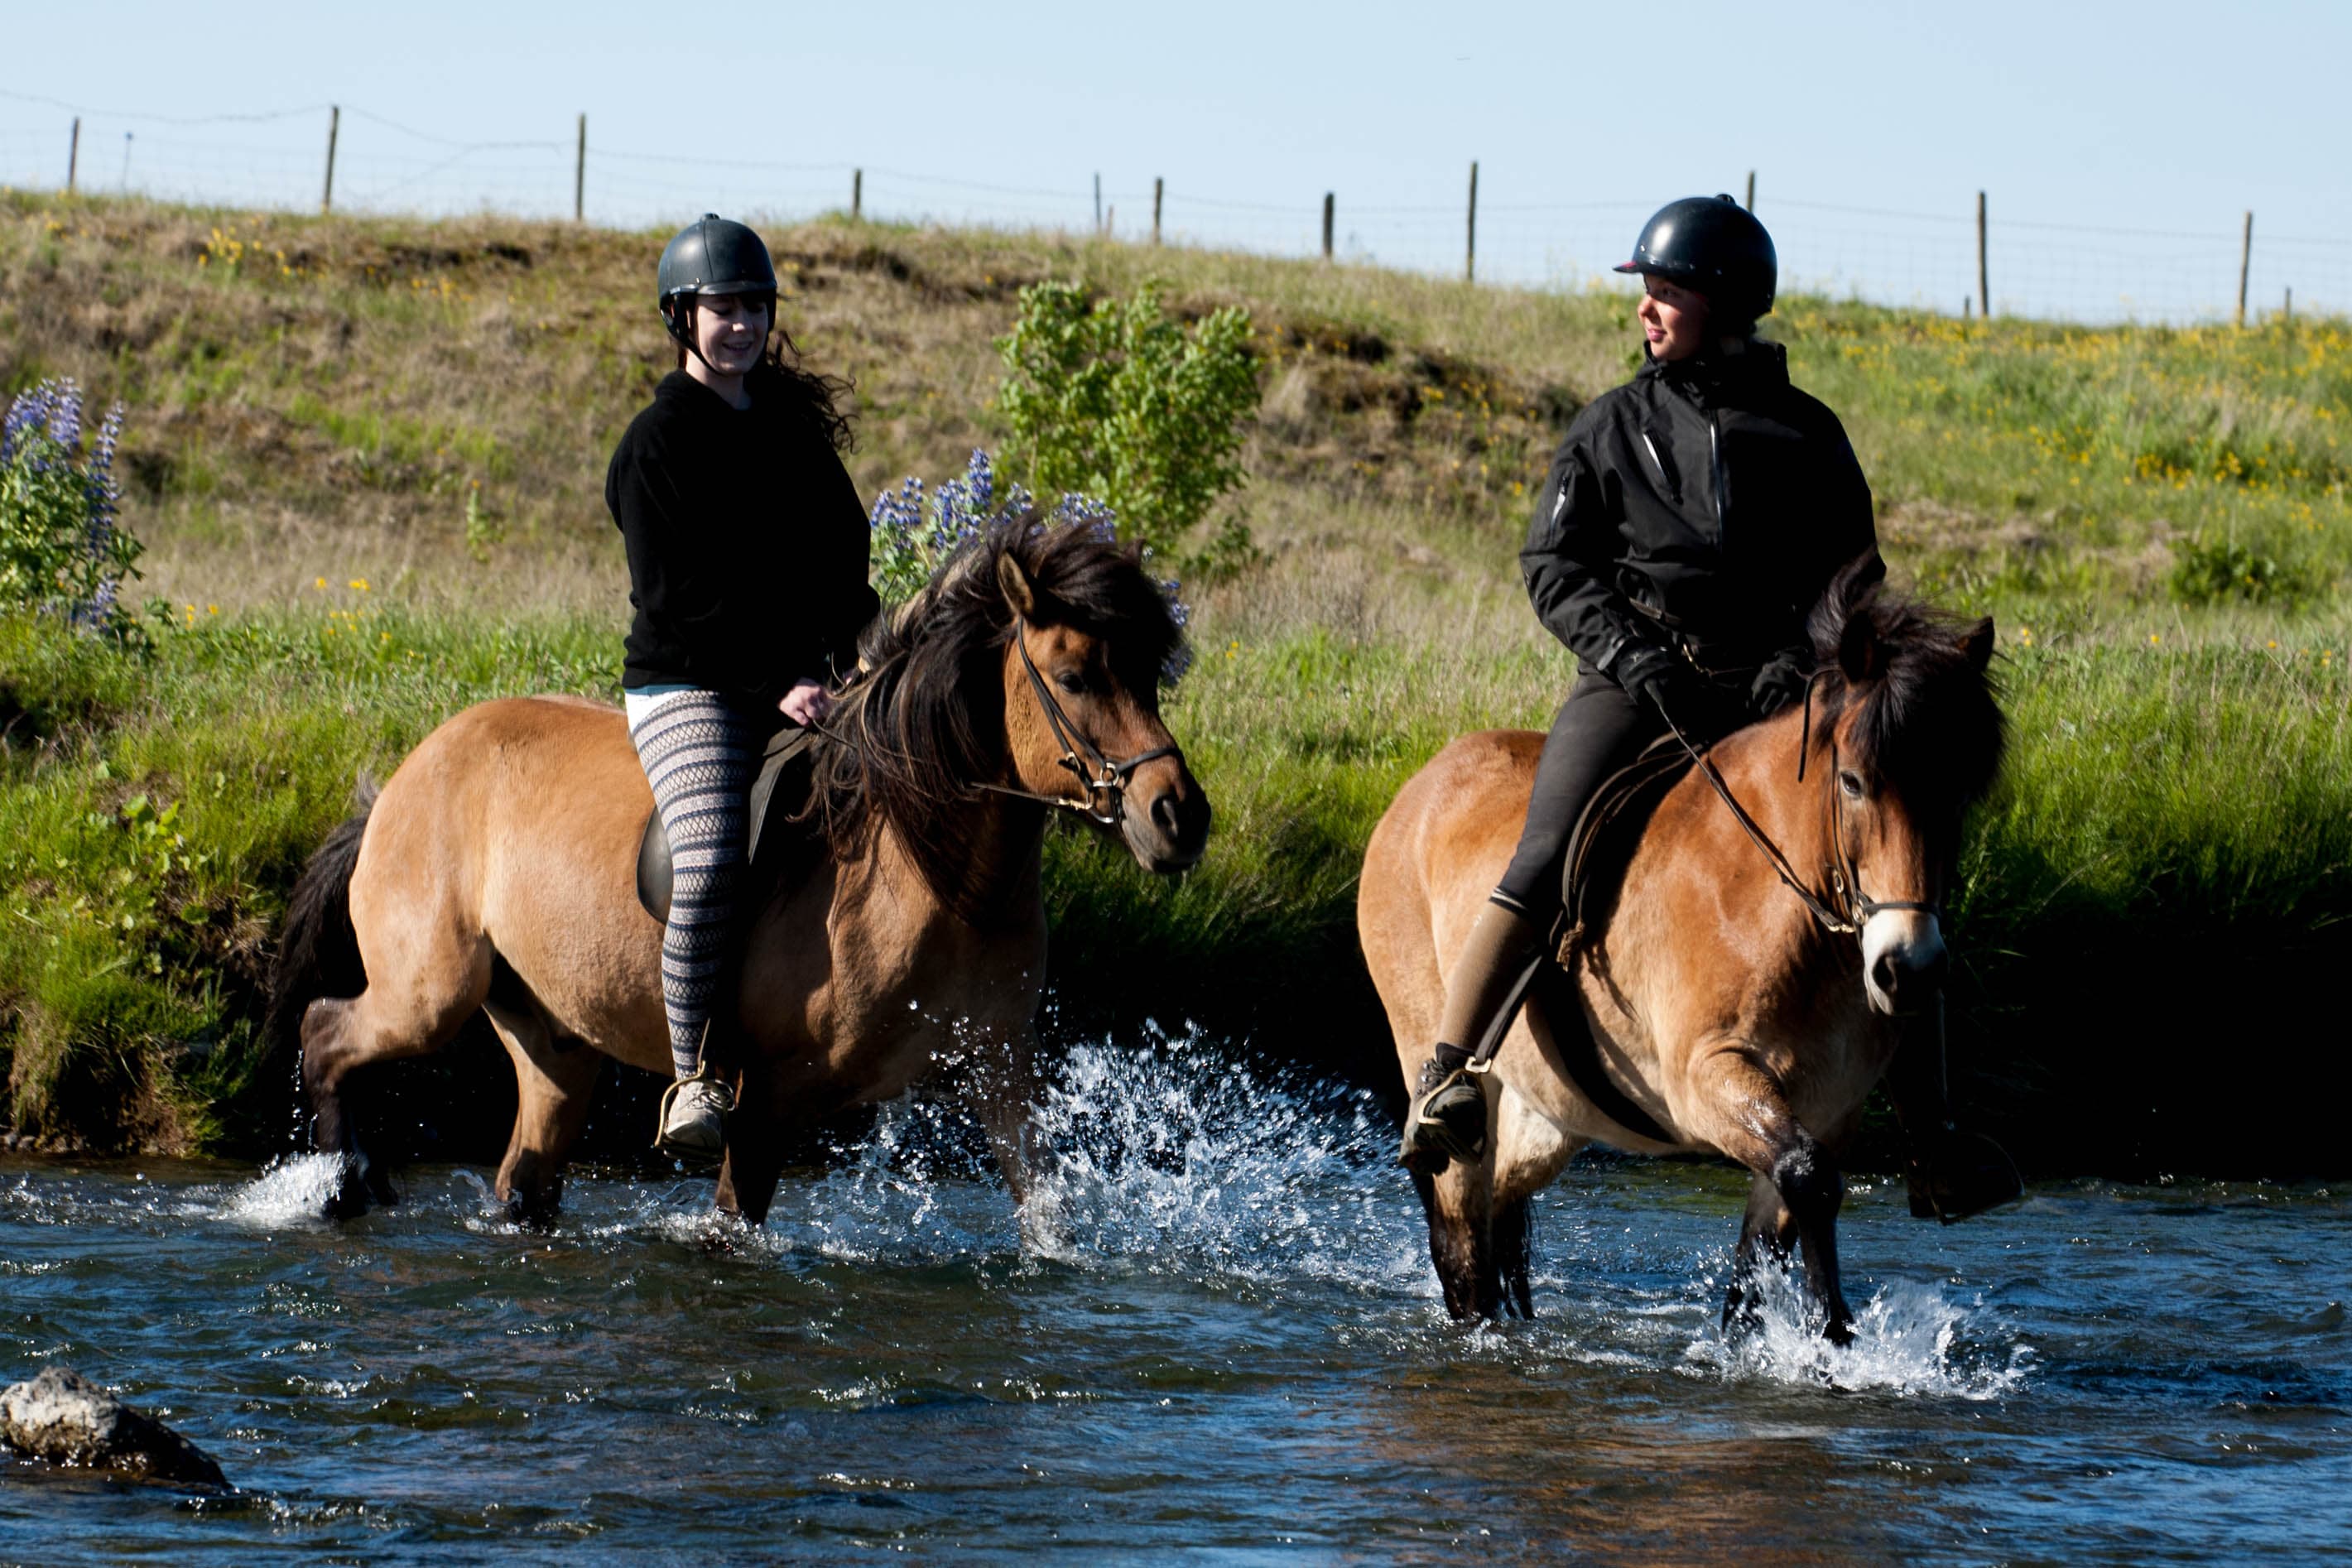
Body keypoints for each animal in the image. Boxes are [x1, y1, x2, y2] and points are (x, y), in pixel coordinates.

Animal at [266, 515, 1210, 1227]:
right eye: (1074, 676)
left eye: (1151, 677)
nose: (1179, 817)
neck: (937, 876)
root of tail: (406, 774)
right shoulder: (766, 1102)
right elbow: (734, 1225)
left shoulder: (1002, 1073)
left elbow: (1044, 1212)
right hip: (430, 992)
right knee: (325, 1033)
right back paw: (345, 1186)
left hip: (552, 1037)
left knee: (525, 1177)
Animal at [1358, 560, 2003, 1332]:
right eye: (1852, 783)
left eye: (1959, 797)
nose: (1907, 970)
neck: (1788, 919)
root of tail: (1418, 788)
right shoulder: (1705, 1078)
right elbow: (1808, 1178)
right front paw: (1833, 1332)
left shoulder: (1825, 1110)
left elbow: (1769, 1242)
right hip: (1443, 1068)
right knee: (1463, 1245)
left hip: (1552, 1110)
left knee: (1503, 1204)